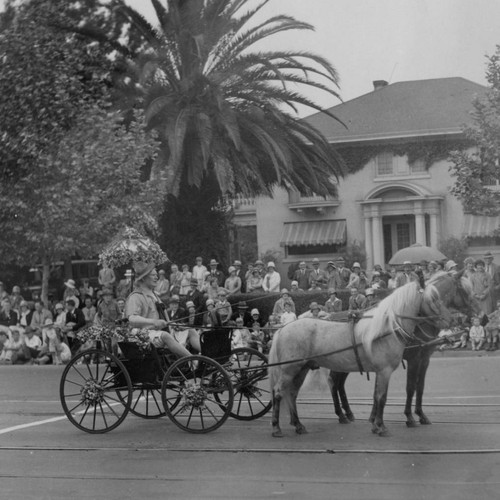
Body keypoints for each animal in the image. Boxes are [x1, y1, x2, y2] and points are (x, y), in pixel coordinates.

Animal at [270, 282, 454, 438]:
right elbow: (383, 397)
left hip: (302, 369)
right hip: (290, 370)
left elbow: (379, 396)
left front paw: (376, 425)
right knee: (279, 392)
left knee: (292, 393)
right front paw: (382, 426)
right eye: (433, 299)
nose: (450, 319)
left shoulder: (385, 370)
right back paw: (276, 427)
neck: (387, 328)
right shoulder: (387, 370)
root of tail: (282, 329)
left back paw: (299, 425)